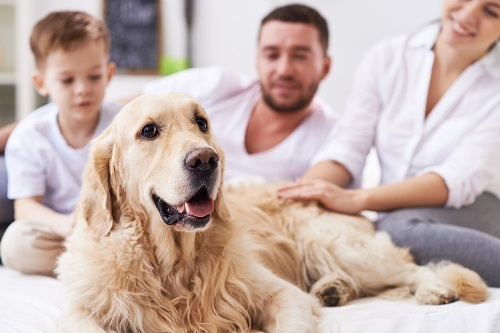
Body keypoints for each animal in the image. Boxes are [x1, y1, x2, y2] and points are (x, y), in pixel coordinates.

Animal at [55, 91, 488, 332]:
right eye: (149, 131)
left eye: (201, 122)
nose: (205, 159)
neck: (173, 264)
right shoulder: (79, 310)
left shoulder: (279, 293)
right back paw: (333, 289)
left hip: (335, 244)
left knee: (412, 268)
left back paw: (434, 289)